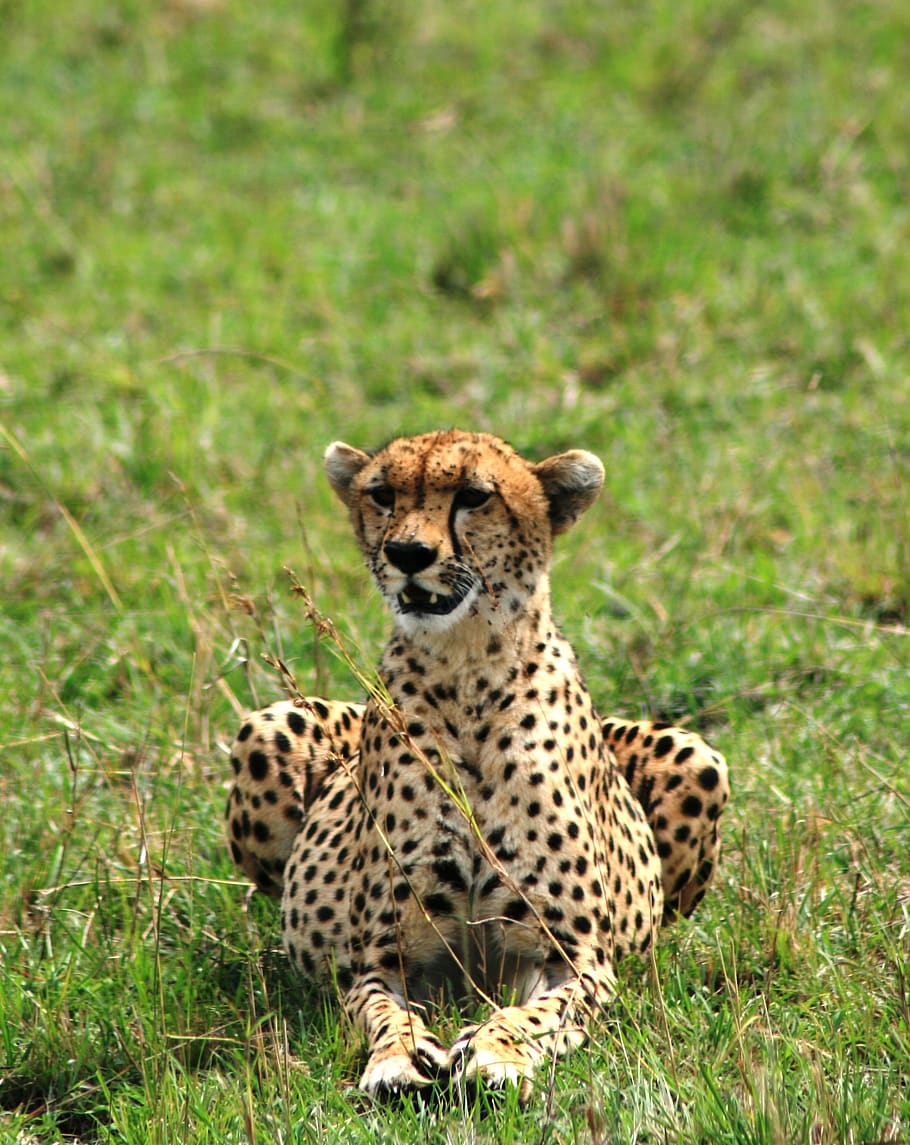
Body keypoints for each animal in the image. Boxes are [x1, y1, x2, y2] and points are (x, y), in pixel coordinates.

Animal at [225, 429, 729, 1101]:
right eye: (382, 494)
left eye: (473, 496)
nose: (408, 552)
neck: (465, 667)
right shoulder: (383, 956)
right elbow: (383, 1012)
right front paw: (399, 1058)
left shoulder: (577, 957)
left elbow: (533, 1014)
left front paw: (493, 1050)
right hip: (267, 727)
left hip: (699, 757)